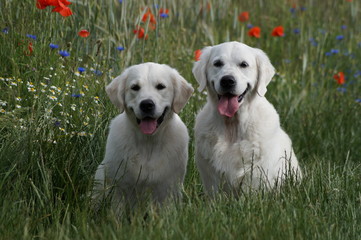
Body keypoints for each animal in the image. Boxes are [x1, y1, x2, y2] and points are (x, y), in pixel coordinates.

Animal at [93, 62, 194, 207]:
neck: (148, 143)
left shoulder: (168, 188)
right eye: (135, 87)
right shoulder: (119, 187)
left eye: (160, 86)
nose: (147, 104)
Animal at [193, 41, 300, 195]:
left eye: (244, 64)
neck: (232, 125)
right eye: (217, 63)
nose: (227, 80)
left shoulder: (257, 171)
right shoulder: (209, 171)